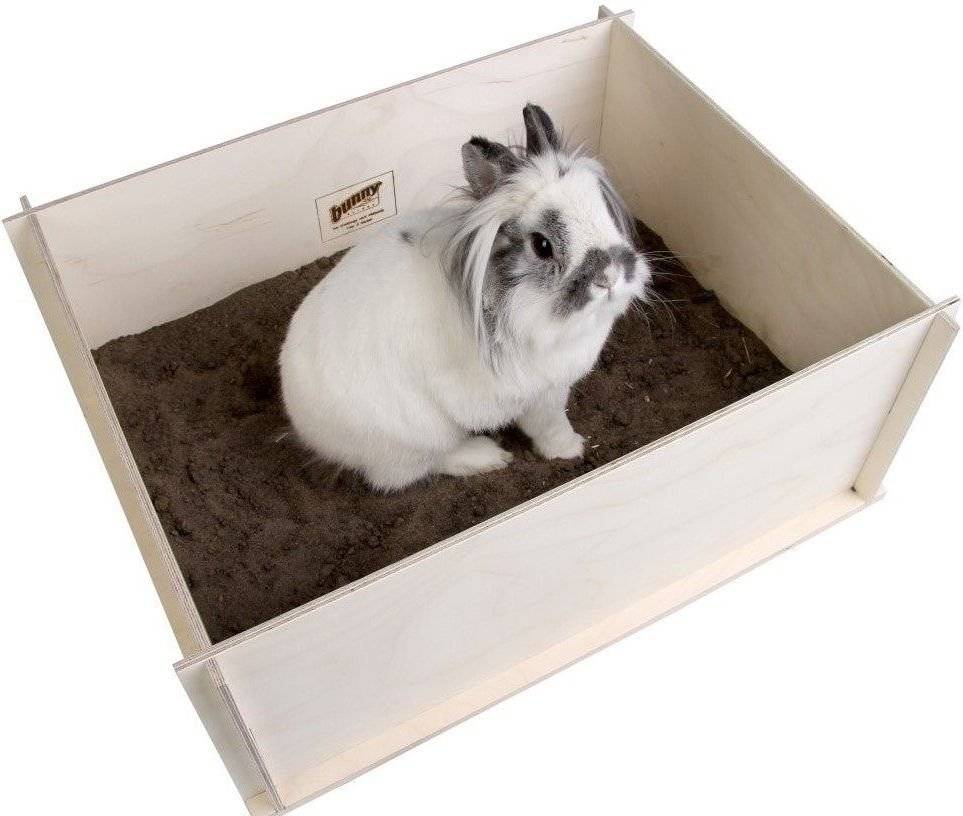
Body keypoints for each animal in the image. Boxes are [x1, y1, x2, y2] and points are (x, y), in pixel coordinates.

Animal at [280, 103, 651, 491]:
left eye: (603, 210)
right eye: (542, 245)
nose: (610, 276)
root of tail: (305, 424)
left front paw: (568, 448)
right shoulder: (538, 394)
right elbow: (549, 424)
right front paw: (572, 449)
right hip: (417, 438)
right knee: (412, 470)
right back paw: (486, 456)